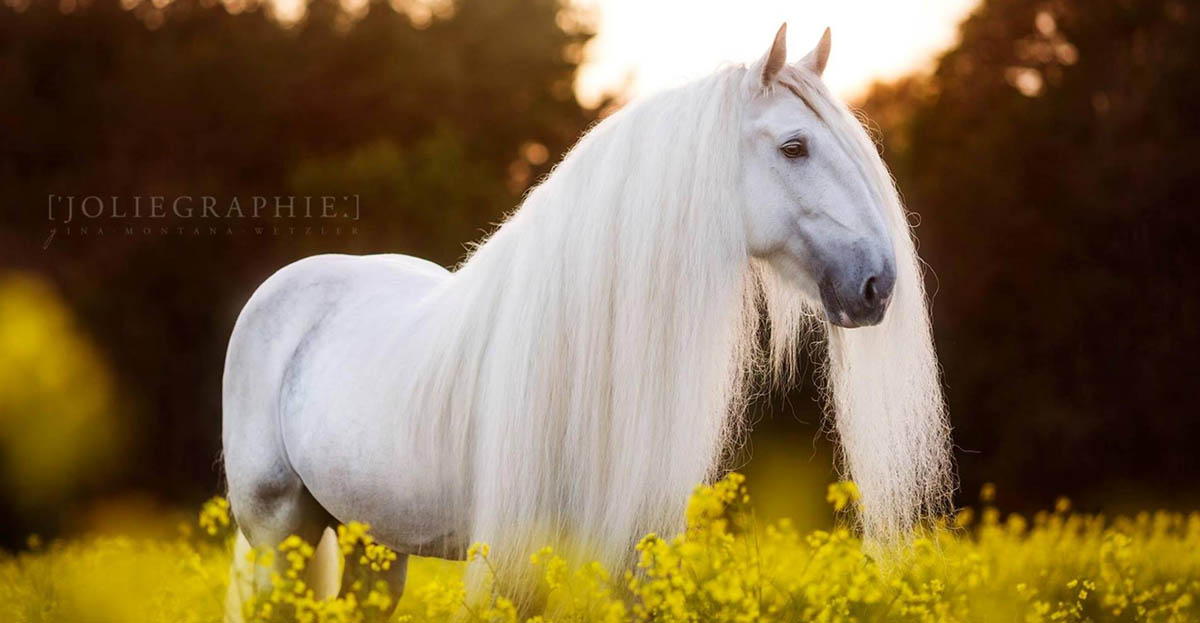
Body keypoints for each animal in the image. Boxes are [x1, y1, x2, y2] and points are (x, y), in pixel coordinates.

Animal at [223, 25, 955, 619]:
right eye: (795, 146)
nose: (877, 284)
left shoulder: (630, 552)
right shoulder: (512, 562)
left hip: (373, 539)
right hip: (278, 530)